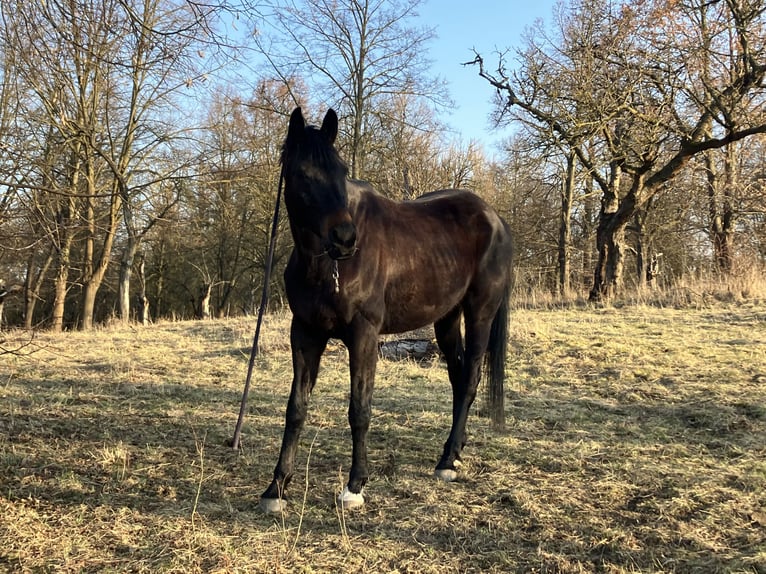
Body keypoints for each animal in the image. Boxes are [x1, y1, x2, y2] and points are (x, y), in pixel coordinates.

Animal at [260, 107, 514, 513]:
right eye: (302, 173)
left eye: (341, 169)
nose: (345, 239)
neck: (326, 266)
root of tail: (495, 218)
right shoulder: (304, 333)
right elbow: (296, 408)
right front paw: (277, 488)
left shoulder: (363, 335)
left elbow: (359, 409)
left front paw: (355, 486)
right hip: (446, 319)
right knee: (459, 379)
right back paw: (453, 452)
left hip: (480, 314)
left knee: (471, 379)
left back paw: (447, 462)